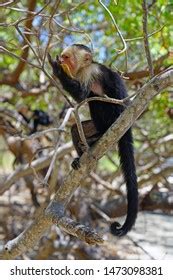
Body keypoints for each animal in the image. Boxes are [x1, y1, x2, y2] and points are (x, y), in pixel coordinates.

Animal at [48, 43, 138, 236]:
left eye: (67, 58)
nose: (62, 60)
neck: (84, 67)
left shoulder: (90, 72)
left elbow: (82, 94)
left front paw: (57, 69)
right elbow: (82, 98)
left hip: (114, 116)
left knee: (96, 100)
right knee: (77, 129)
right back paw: (83, 151)